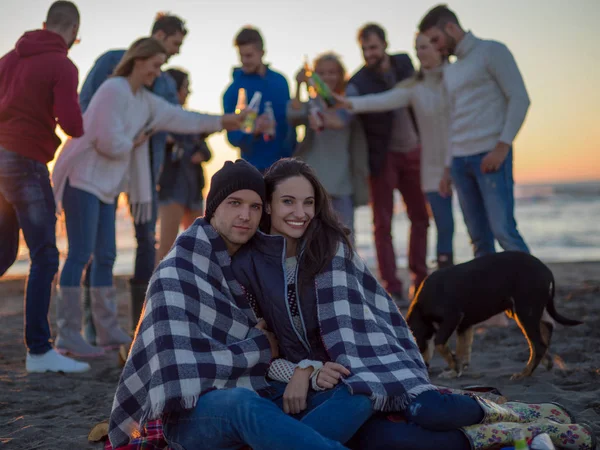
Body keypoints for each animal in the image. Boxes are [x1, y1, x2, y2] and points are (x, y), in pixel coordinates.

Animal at [406, 251, 584, 378]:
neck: (421, 307)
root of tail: (546, 269)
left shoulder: (452, 317)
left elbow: (439, 343)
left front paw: (454, 366)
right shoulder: (464, 324)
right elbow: (463, 348)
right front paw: (456, 370)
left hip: (524, 311)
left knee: (538, 344)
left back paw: (524, 374)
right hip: (530, 309)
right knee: (546, 329)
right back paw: (546, 362)